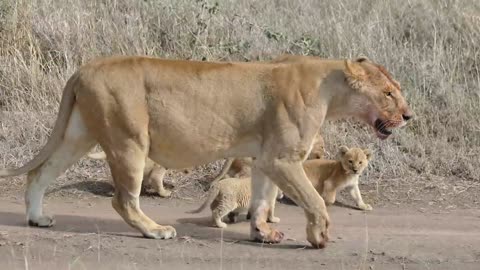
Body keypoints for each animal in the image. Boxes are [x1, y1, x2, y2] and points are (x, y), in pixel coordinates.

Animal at [0, 54, 412, 249]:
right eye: (389, 93)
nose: (409, 115)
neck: (329, 88)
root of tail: (84, 69)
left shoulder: (266, 158)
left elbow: (262, 200)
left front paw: (262, 233)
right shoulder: (284, 158)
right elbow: (314, 200)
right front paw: (319, 236)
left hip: (79, 136)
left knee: (40, 173)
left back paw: (37, 218)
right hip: (129, 140)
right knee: (123, 200)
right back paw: (156, 231)